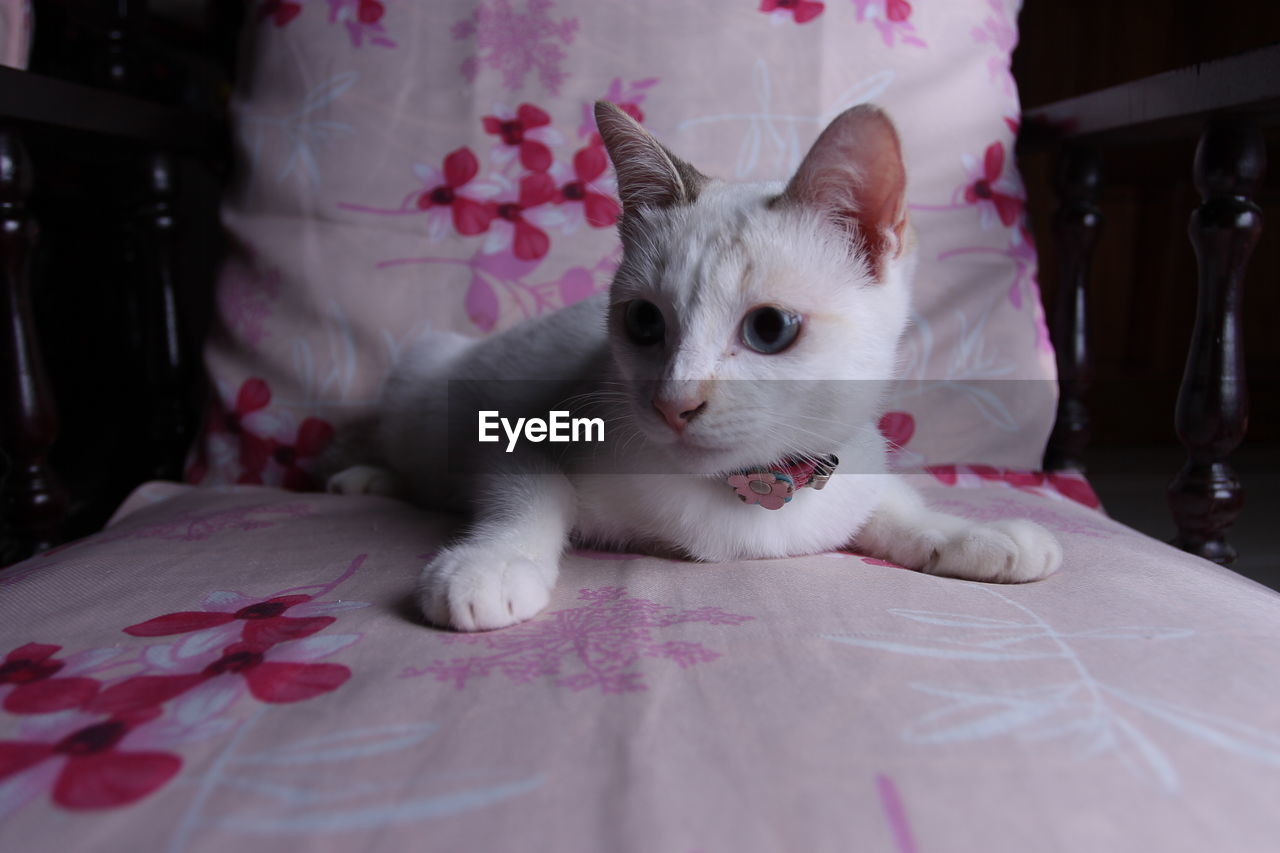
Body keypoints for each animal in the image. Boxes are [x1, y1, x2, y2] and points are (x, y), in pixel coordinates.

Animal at [327, 103, 1059, 627]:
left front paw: (975, 533)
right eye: (645, 322)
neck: (754, 491)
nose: (673, 402)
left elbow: (897, 503)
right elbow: (531, 495)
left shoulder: (853, 457)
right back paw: (363, 478)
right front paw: (493, 565)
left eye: (769, 329)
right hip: (422, 368)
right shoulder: (526, 427)